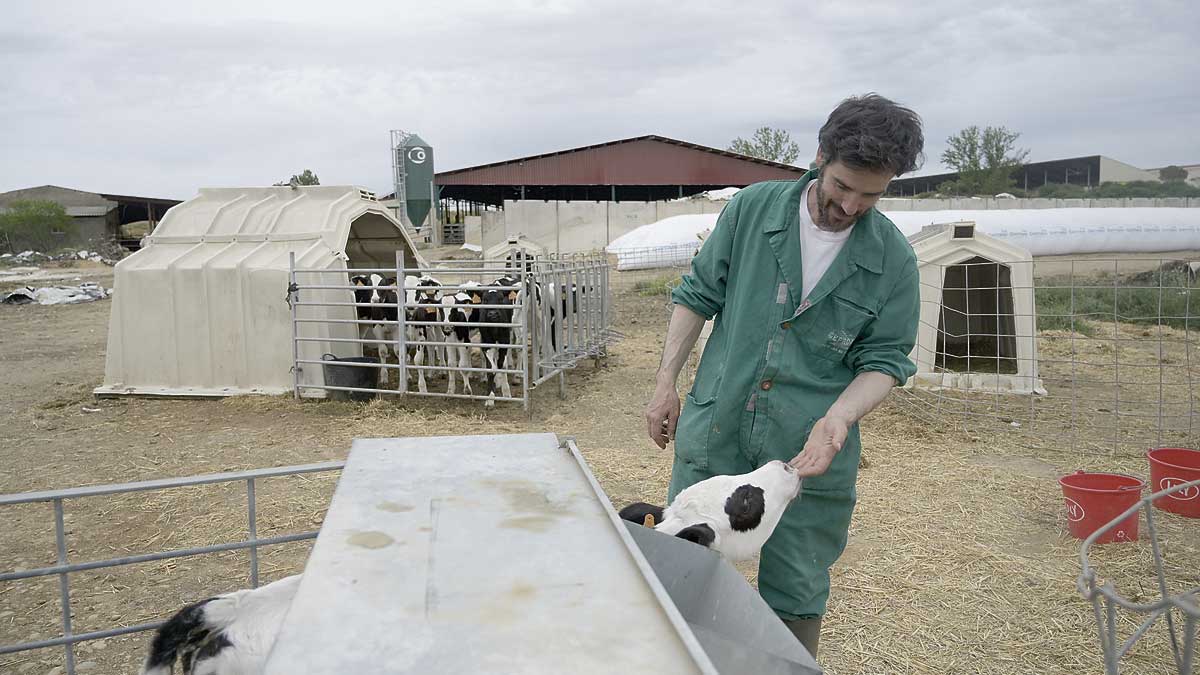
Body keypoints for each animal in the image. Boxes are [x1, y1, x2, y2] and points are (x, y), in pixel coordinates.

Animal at [285, 248, 614, 410]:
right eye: (372, 286)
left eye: (386, 285)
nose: (379, 299)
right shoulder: (393, 328)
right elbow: (397, 354)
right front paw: (408, 381)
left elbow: (478, 363)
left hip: (528, 325)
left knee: (524, 349)